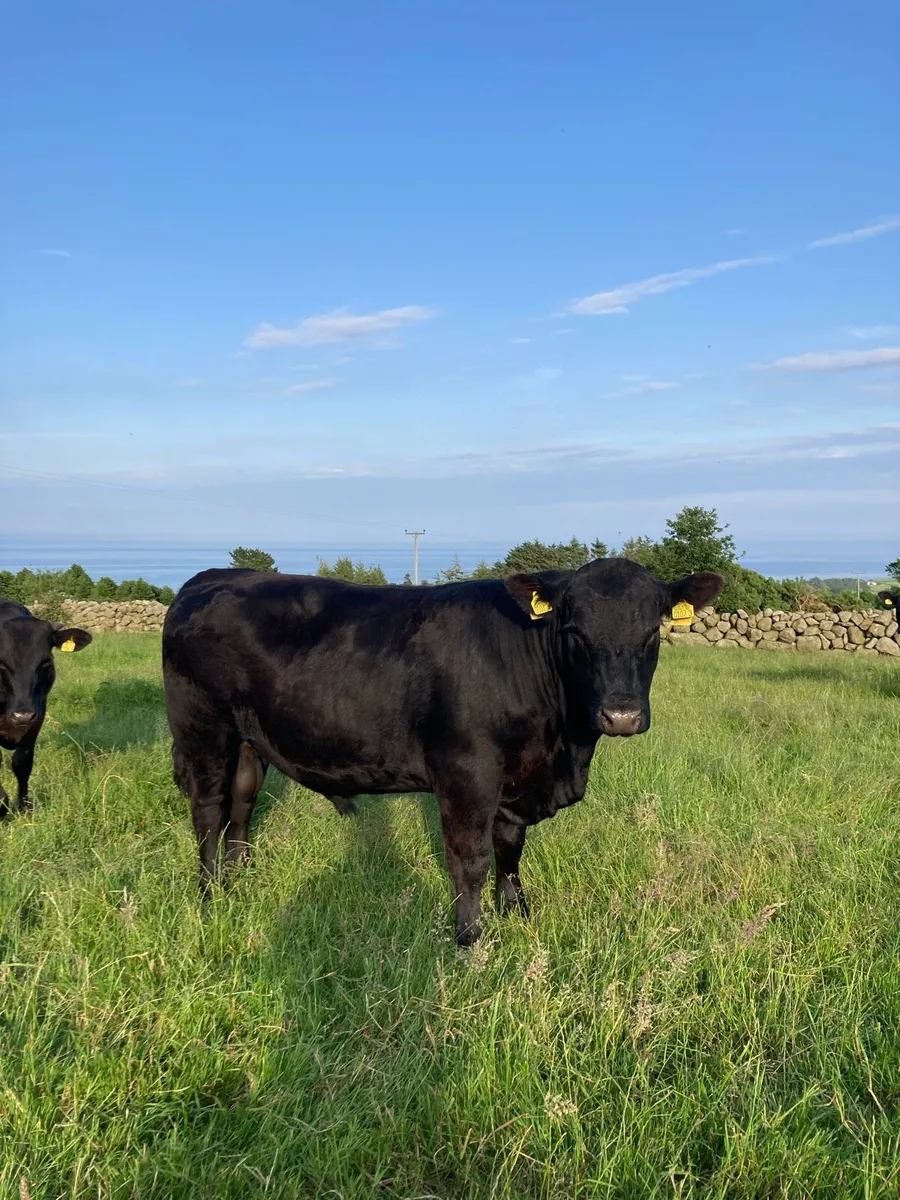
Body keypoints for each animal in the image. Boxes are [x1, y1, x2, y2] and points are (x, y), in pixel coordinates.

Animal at [0, 599, 92, 817]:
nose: (22, 715)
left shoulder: (38, 716)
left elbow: (22, 762)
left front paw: (24, 806)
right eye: (1, 663)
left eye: (46, 662)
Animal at [162, 558, 723, 945]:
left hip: (248, 737)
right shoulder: (466, 770)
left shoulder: (515, 781)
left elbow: (510, 849)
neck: (562, 749)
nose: (621, 716)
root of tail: (208, 578)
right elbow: (470, 859)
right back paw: (210, 895)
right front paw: (469, 941)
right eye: (574, 631)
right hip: (202, 726)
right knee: (209, 809)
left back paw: (239, 879)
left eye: (652, 632)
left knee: (242, 800)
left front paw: (518, 916)